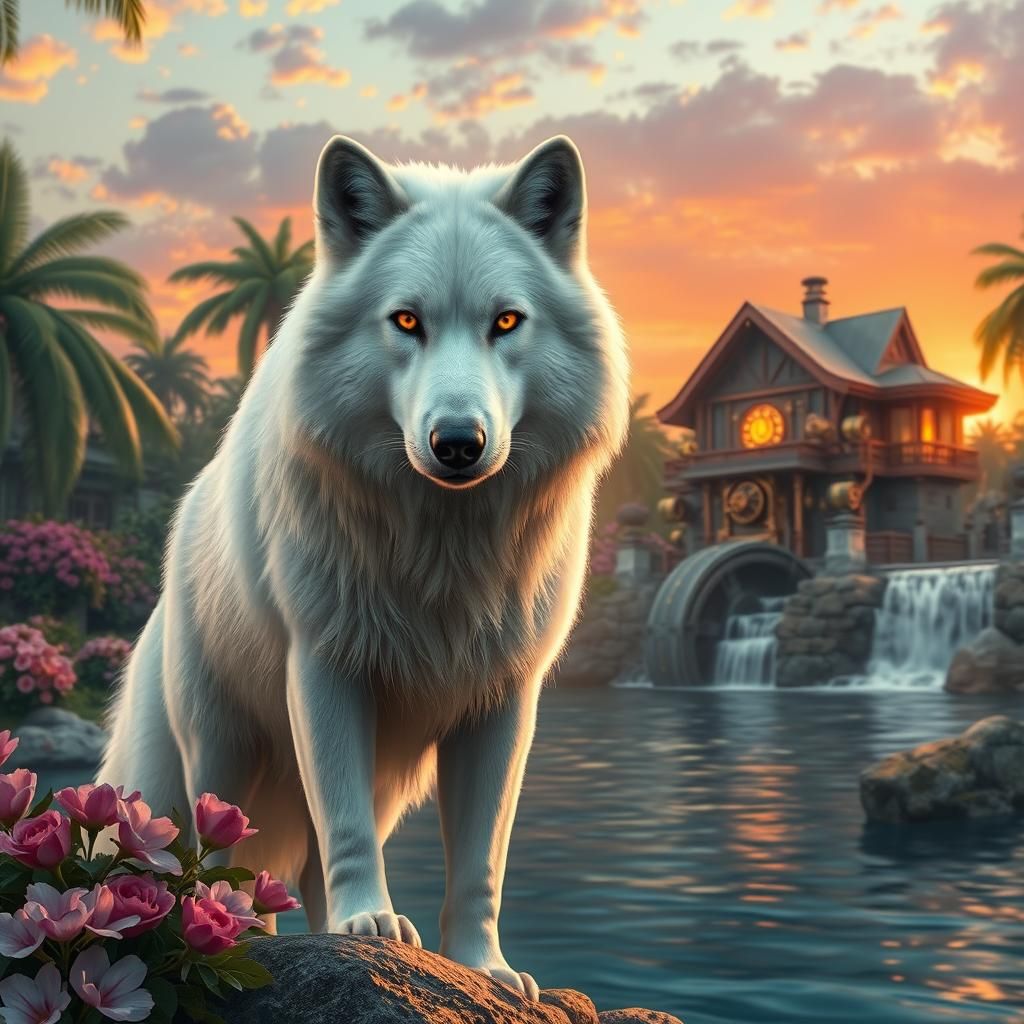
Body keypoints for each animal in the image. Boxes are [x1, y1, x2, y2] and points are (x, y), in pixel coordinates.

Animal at [98, 133, 629, 997]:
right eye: (406, 321)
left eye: (506, 322)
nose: (458, 443)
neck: (441, 546)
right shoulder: (325, 668)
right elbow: (345, 833)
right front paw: (368, 924)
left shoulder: (504, 702)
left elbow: (480, 861)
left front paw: (482, 966)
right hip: (220, 753)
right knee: (215, 854)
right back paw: (234, 930)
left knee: (298, 865)